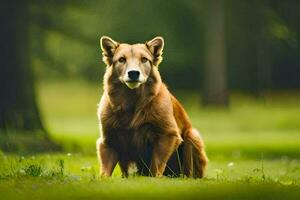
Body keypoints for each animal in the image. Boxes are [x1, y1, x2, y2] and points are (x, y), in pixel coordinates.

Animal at [96, 36, 209, 178]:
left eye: (144, 59)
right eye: (121, 59)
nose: (133, 73)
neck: (132, 101)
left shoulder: (168, 135)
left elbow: (156, 165)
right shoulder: (108, 140)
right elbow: (105, 171)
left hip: (192, 136)